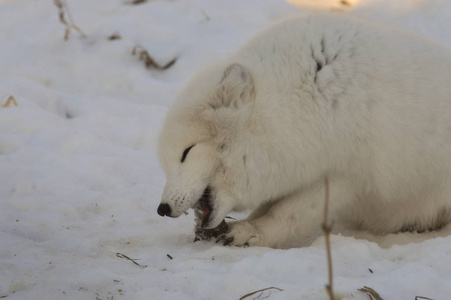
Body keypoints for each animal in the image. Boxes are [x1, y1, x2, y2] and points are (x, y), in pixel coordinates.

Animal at [156, 14, 451, 248]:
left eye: (187, 152)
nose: (162, 209)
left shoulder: (345, 176)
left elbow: (288, 213)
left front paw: (251, 232)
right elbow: (270, 206)